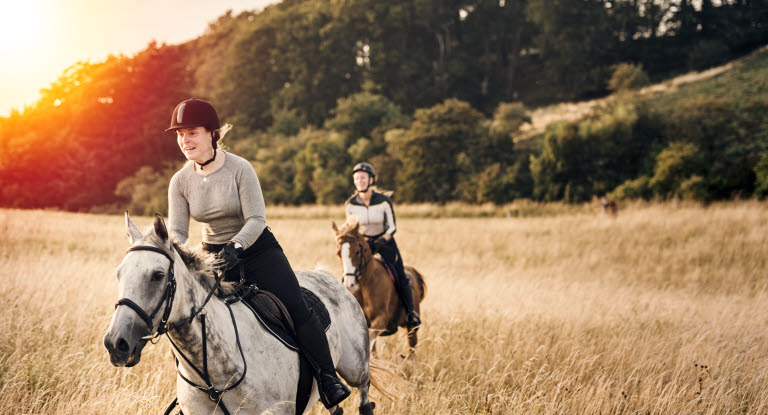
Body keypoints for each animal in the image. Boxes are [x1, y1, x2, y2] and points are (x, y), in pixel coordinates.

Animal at [330, 219, 426, 360]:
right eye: (338, 254)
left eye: (357, 251)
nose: (350, 284)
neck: (366, 285)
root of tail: (411, 271)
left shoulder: (381, 320)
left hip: (411, 328)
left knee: (412, 351)